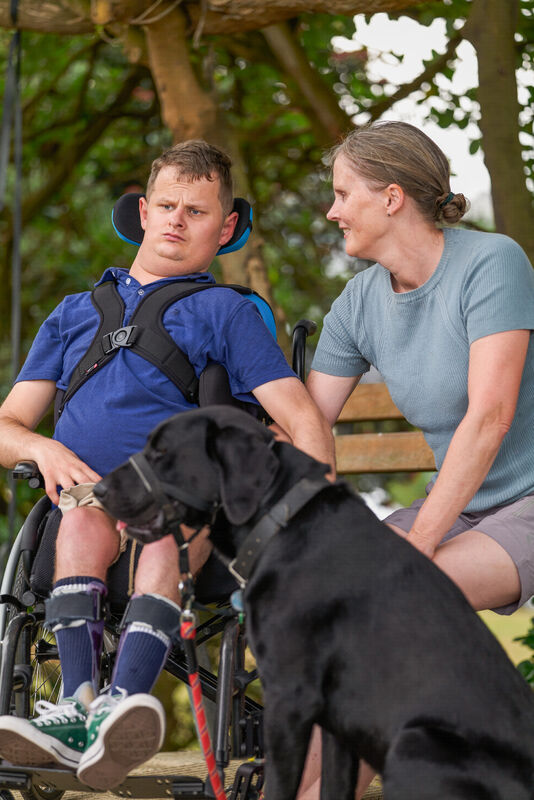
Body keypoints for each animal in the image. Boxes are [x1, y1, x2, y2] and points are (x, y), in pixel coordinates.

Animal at [96, 410, 534, 796]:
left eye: (161, 452)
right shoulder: (338, 724)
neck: (279, 521)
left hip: (414, 743)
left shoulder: (289, 698)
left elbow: (277, 788)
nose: (96, 490)